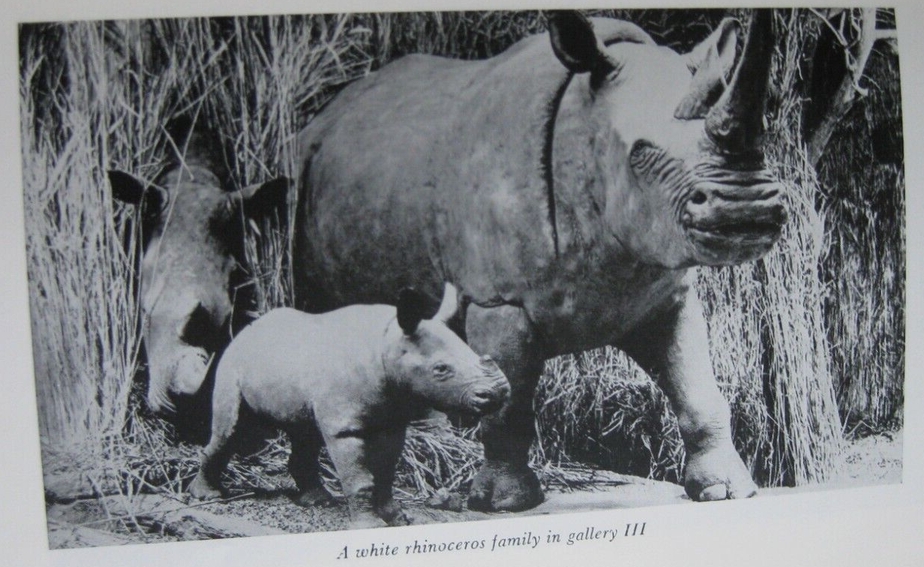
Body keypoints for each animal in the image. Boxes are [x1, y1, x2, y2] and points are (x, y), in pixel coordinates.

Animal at [190, 283, 510, 528]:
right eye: (441, 370)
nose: (498, 393)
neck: (388, 344)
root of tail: (244, 331)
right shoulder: (345, 427)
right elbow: (361, 477)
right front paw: (370, 526)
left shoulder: (392, 421)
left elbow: (385, 474)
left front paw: (397, 519)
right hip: (232, 364)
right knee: (231, 430)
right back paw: (208, 496)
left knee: (305, 430)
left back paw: (317, 500)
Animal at [292, 10, 784, 510]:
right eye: (642, 155)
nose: (746, 207)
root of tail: (325, 115)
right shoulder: (497, 299)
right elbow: (507, 402)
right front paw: (505, 502)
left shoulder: (665, 293)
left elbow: (698, 387)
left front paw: (726, 491)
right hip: (303, 181)